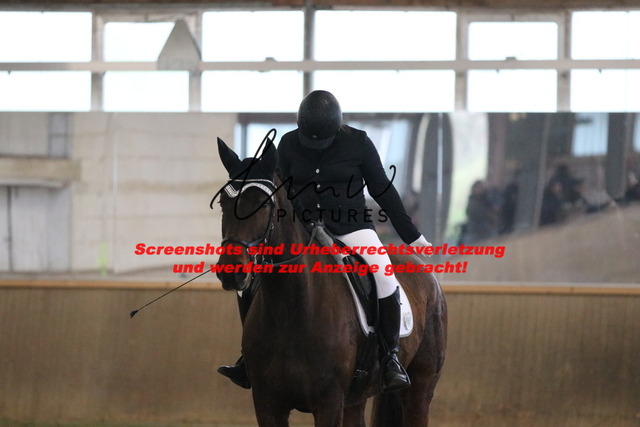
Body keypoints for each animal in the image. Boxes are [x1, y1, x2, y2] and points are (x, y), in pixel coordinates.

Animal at [213, 134, 447, 427]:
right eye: (223, 203)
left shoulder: (329, 404)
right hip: (357, 398)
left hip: (420, 389)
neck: (293, 309)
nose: (232, 271)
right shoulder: (267, 404)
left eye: (264, 203)